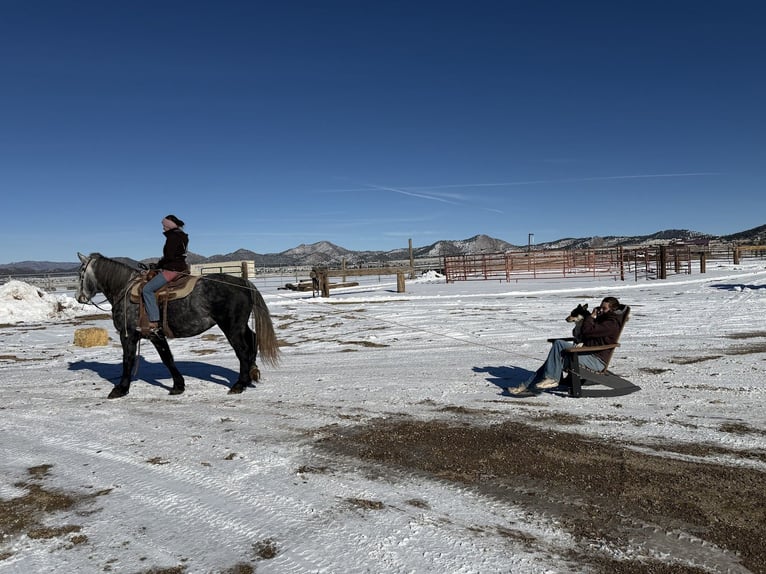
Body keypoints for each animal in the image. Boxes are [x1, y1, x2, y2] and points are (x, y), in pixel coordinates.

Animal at [76, 252, 280, 399]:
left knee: (243, 351)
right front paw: (178, 385)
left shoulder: (128, 335)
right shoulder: (155, 335)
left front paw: (120, 389)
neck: (125, 289)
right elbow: (168, 358)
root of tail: (243, 281)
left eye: (80, 273)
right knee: (252, 340)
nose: (79, 297)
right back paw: (252, 373)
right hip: (240, 325)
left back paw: (239, 384)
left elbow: (129, 360)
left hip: (232, 328)